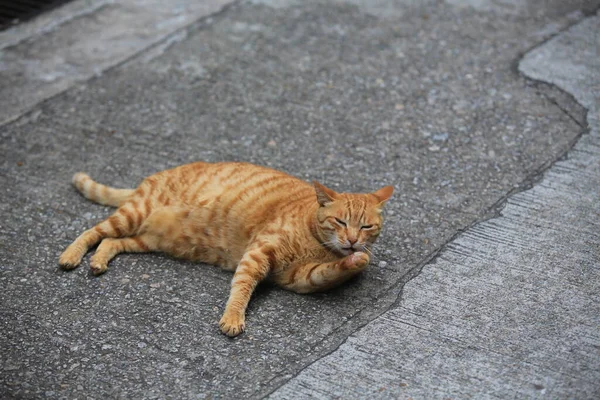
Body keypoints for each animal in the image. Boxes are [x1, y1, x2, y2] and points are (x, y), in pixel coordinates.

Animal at [58, 161, 392, 336]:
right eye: (340, 221)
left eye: (366, 227)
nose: (352, 240)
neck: (317, 243)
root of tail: (151, 177)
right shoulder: (258, 254)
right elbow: (242, 288)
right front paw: (232, 317)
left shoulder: (301, 278)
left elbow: (332, 271)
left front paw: (358, 260)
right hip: (133, 215)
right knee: (92, 232)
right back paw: (71, 256)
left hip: (148, 240)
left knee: (111, 242)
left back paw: (99, 261)